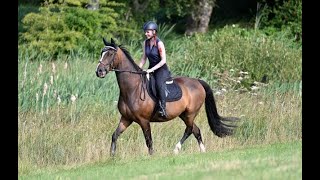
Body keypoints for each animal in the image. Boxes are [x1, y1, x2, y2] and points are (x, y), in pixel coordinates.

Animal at [94, 38, 239, 156]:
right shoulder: (126, 119)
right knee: (196, 130)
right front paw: (112, 157)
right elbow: (114, 135)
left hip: (190, 113)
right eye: (102, 53)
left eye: (110, 54)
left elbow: (149, 141)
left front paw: (152, 156)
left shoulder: (143, 120)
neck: (132, 88)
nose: (99, 71)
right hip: (184, 114)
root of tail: (198, 82)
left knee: (189, 129)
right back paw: (202, 151)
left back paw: (176, 149)